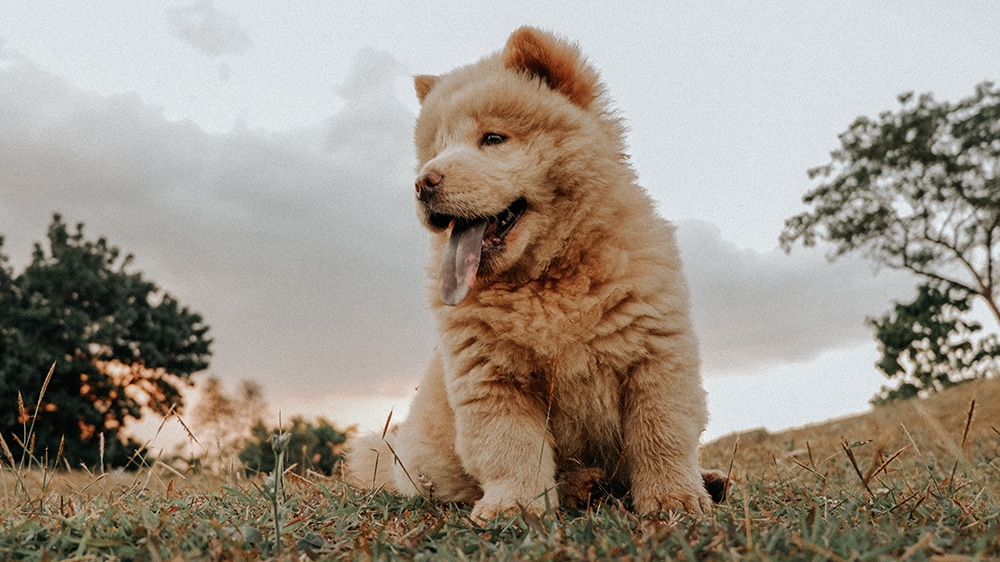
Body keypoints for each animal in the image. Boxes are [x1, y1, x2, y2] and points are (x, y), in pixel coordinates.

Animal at [348, 25, 724, 516]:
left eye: (492, 138)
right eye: (436, 149)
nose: (422, 182)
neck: (546, 278)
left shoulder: (656, 353)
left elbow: (661, 434)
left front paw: (674, 500)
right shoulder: (491, 375)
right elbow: (512, 448)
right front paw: (515, 507)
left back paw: (706, 481)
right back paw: (582, 485)